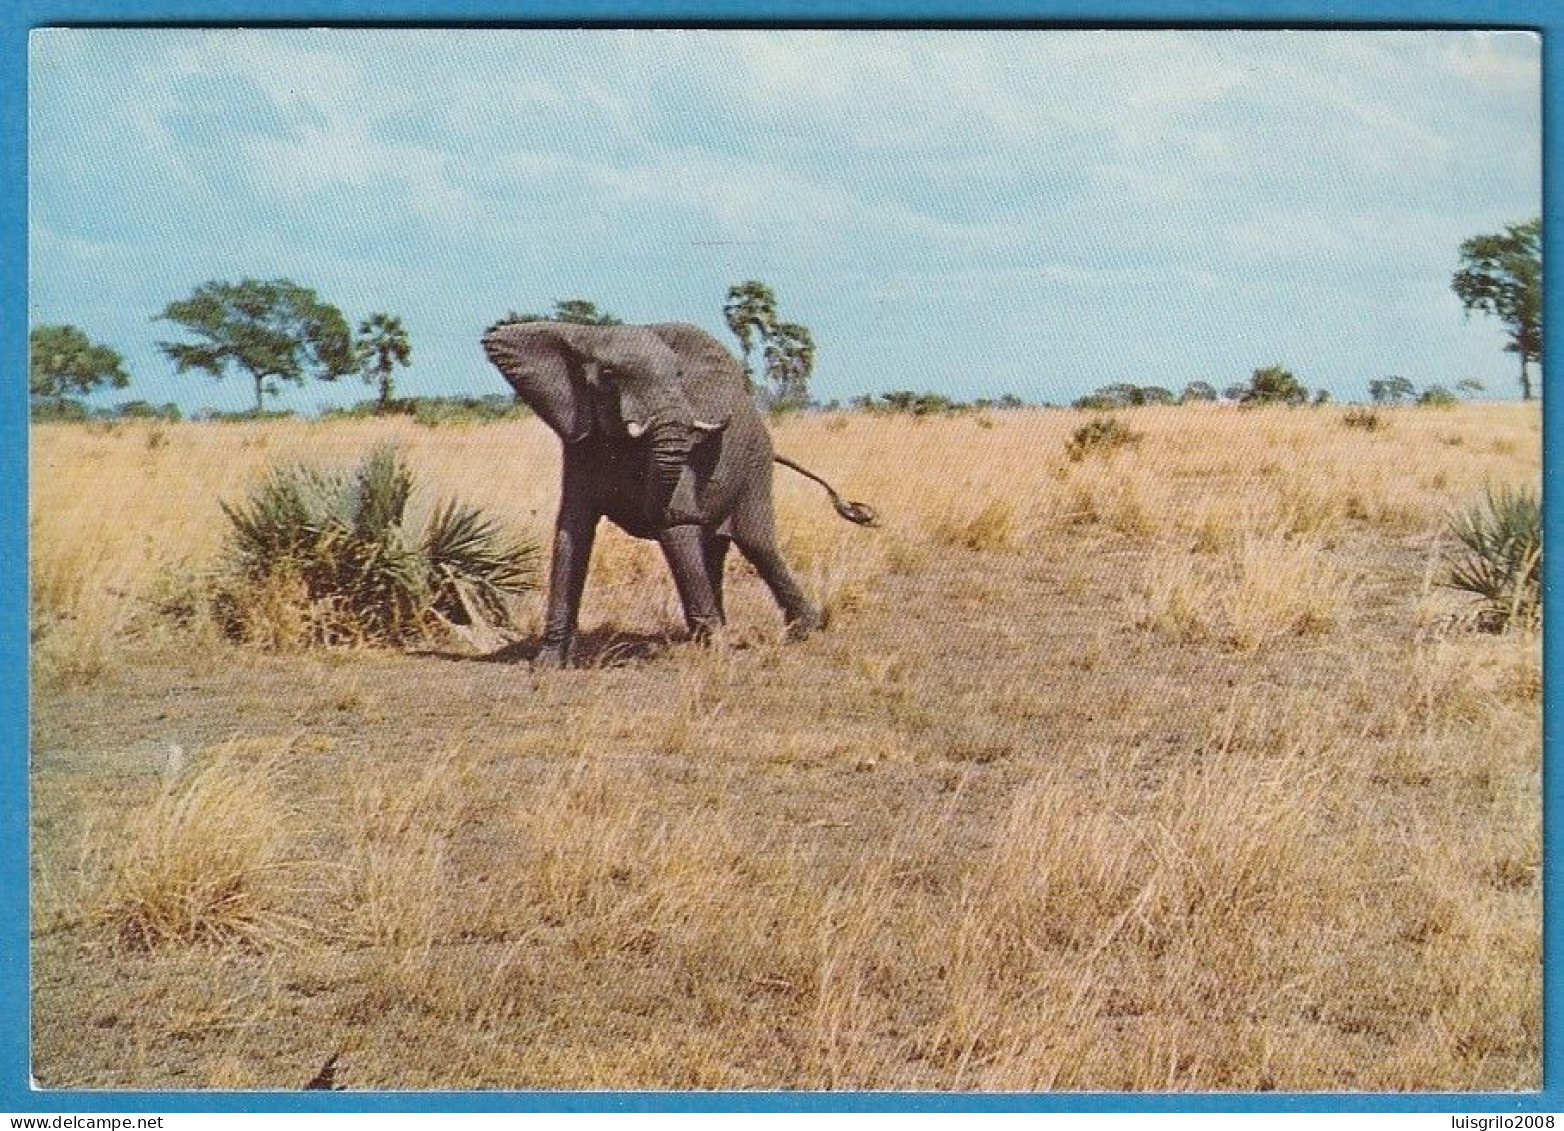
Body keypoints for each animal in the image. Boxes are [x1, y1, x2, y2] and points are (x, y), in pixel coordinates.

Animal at [475, 319, 875, 669]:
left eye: (679, 376)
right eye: (608, 377)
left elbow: (677, 527)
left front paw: (718, 655)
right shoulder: (580, 440)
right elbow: (572, 533)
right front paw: (547, 664)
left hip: (756, 465)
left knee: (757, 545)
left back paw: (804, 631)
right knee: (714, 549)